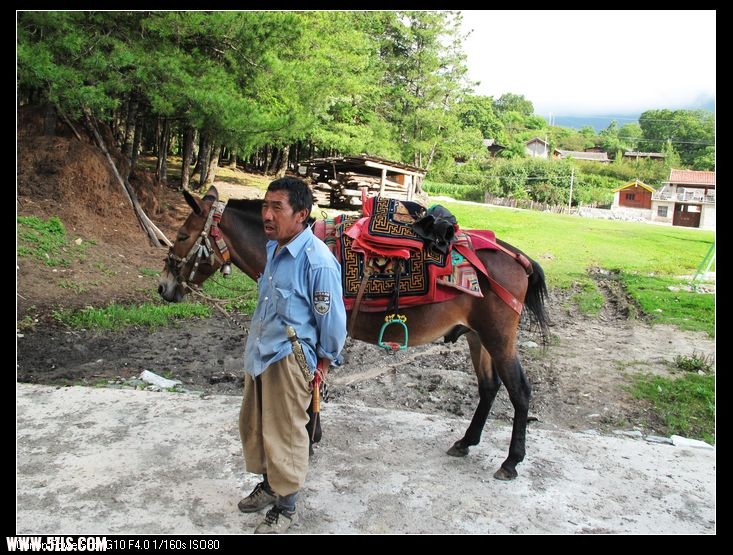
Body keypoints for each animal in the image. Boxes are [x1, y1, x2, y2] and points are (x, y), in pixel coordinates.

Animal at [160, 187, 548, 482]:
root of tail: (516, 256)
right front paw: (311, 434)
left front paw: (308, 438)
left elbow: (311, 382)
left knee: (520, 391)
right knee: (489, 388)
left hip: (498, 338)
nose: (164, 287)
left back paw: (511, 461)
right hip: (476, 336)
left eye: (181, 236)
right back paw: (466, 442)